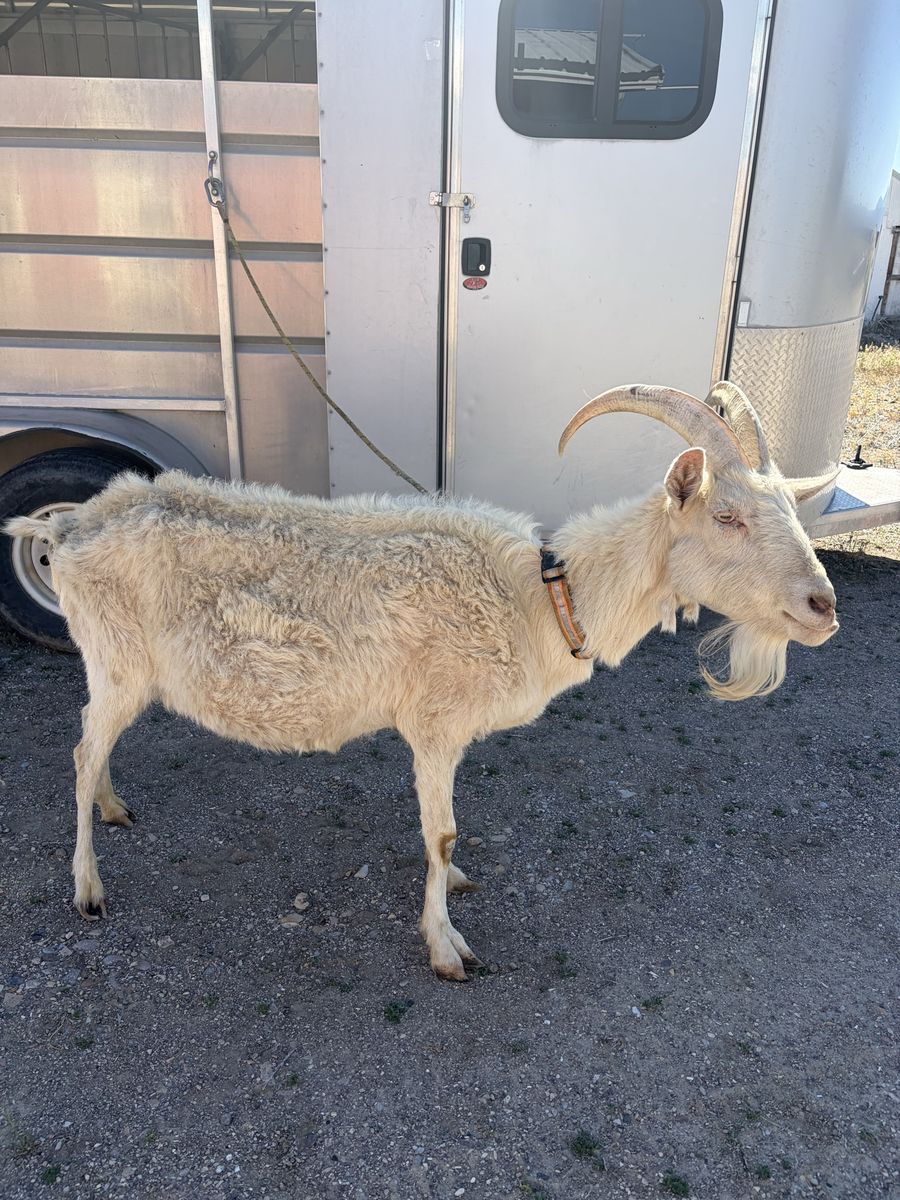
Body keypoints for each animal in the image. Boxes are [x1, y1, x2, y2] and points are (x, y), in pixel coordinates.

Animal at [3, 383, 838, 980]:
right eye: (727, 517)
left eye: (791, 512)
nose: (821, 606)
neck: (538, 599)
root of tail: (64, 527)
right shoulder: (435, 724)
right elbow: (439, 833)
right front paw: (447, 948)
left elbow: (445, 842)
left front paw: (457, 891)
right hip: (116, 657)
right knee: (80, 752)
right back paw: (88, 890)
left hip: (116, 669)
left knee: (95, 748)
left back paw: (112, 806)